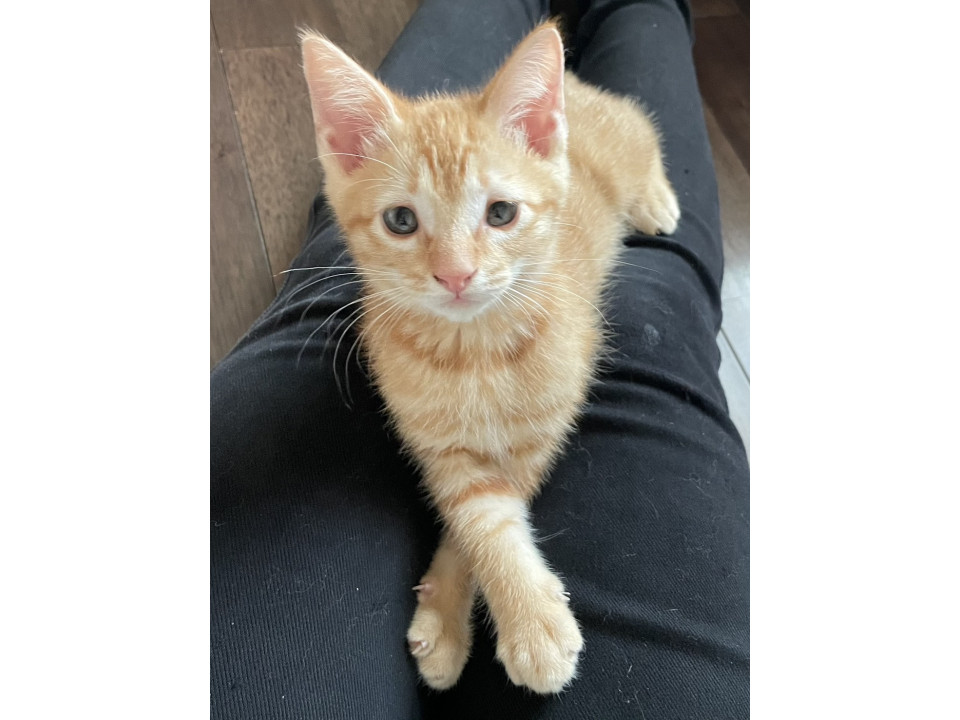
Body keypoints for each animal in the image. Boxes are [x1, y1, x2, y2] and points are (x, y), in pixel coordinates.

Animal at [300, 21, 679, 694]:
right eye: (401, 220)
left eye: (500, 213)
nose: (455, 275)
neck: (471, 352)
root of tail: (573, 84)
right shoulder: (438, 445)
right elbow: (479, 520)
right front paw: (474, 616)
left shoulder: (542, 432)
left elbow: (505, 507)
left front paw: (524, 624)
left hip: (622, 144)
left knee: (641, 122)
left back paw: (656, 197)